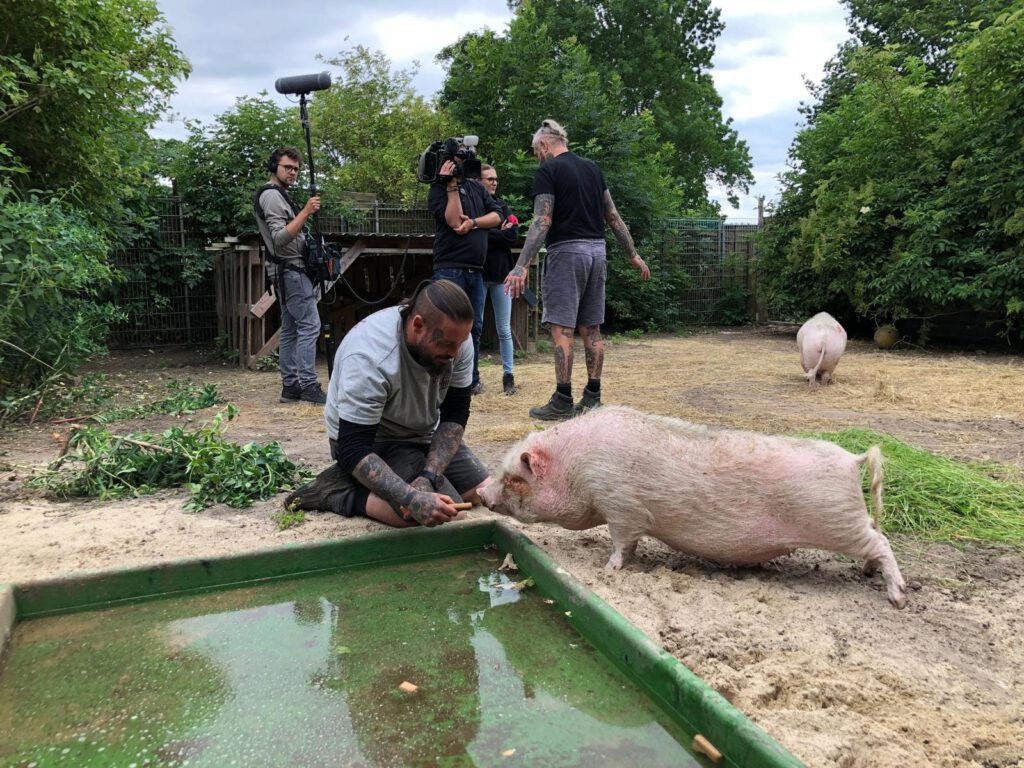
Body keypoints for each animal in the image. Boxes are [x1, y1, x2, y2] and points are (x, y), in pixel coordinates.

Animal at [475, 405, 909, 610]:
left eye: (515, 478)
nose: (480, 491)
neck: (577, 467)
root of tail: (852, 459)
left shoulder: (621, 505)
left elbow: (622, 544)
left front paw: (607, 570)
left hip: (838, 522)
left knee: (882, 542)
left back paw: (898, 598)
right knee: (877, 539)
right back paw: (869, 575)